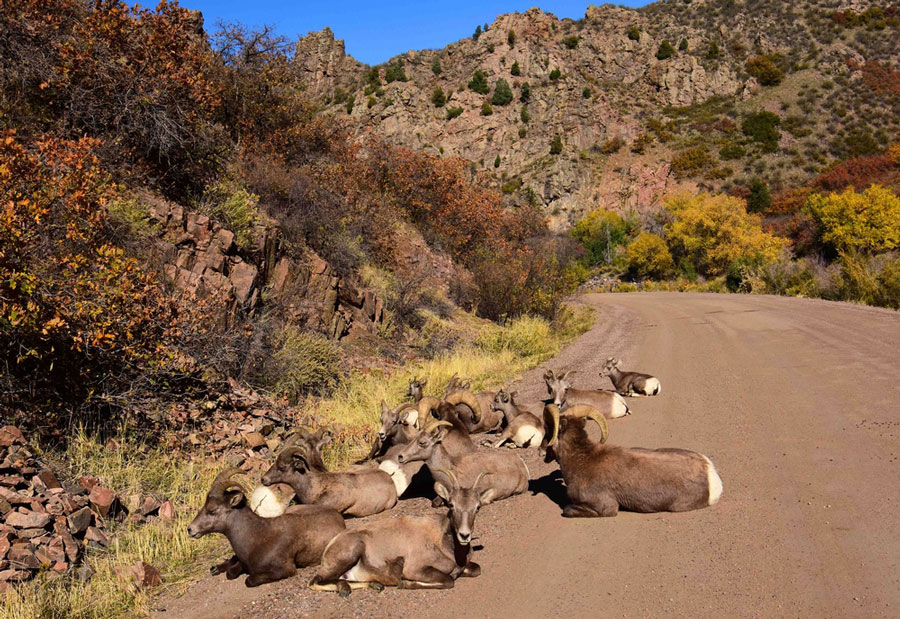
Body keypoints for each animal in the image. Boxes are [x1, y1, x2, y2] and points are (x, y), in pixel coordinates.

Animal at [187, 468, 345, 587]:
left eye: (212, 510)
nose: (190, 529)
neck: (258, 537)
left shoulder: (285, 570)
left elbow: (247, 579)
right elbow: (232, 572)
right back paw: (215, 568)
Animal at [308, 469, 491, 595]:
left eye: (477, 507)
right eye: (452, 505)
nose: (464, 535)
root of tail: (330, 547)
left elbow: (476, 569)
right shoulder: (416, 569)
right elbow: (449, 581)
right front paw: (405, 583)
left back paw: (374, 585)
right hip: (351, 552)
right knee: (315, 581)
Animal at [540, 404, 723, 518]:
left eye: (548, 430)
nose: (541, 449)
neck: (581, 461)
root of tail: (710, 471)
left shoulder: (604, 508)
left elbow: (566, 510)